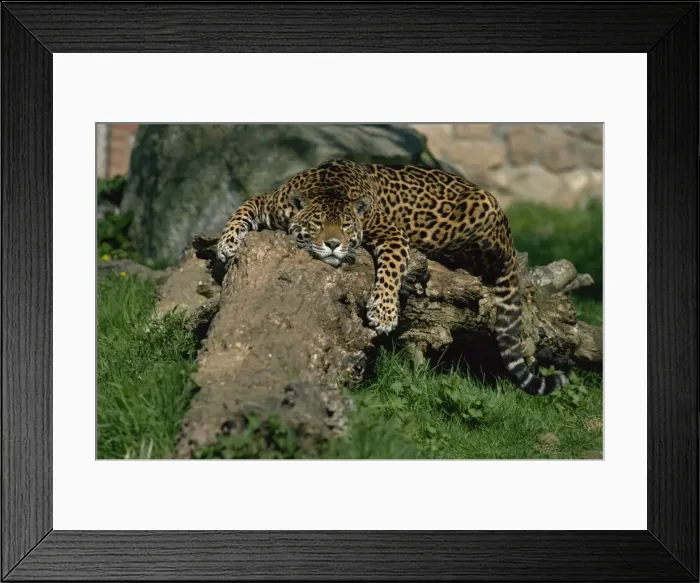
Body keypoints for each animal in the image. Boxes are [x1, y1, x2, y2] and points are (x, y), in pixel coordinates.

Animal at [216, 157, 568, 396]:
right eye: (317, 224)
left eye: (346, 225)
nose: (333, 244)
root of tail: (509, 236)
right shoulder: (270, 201)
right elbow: (244, 205)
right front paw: (227, 243)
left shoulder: (392, 234)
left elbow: (391, 270)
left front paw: (383, 314)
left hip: (481, 216)